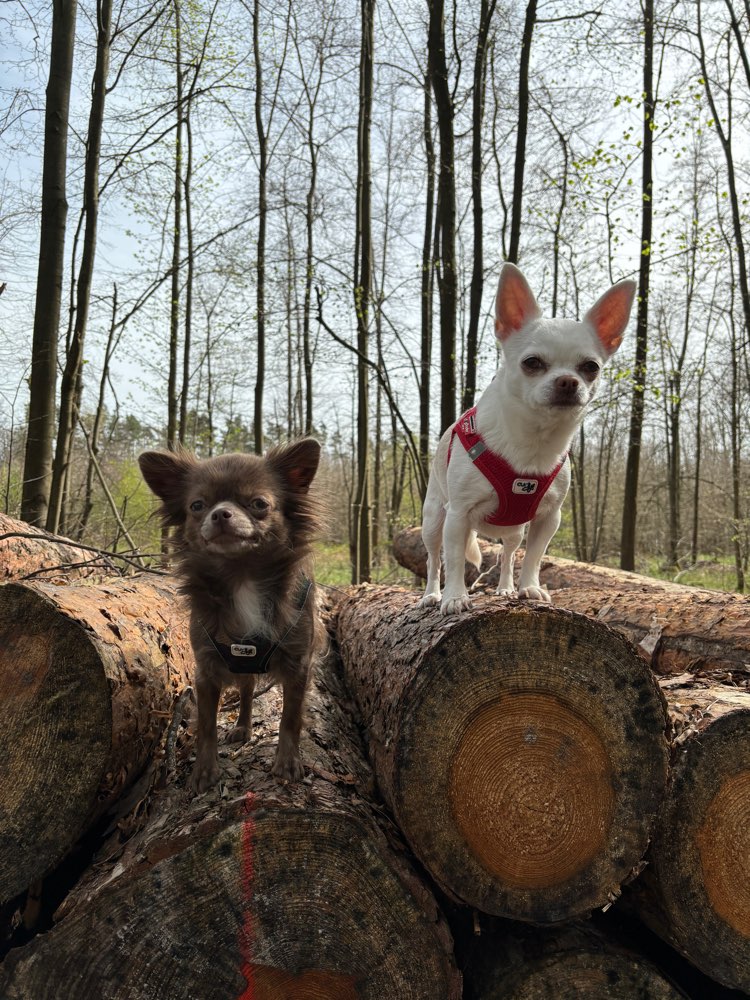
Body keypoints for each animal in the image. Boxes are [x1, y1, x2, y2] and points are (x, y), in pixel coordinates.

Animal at [138, 442, 326, 792]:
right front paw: (204, 771)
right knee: (247, 692)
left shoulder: (298, 667)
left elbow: (290, 718)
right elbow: (207, 725)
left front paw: (287, 762)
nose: (220, 513)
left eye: (259, 504)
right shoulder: (207, 672)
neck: (242, 575)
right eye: (197, 505)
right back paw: (242, 726)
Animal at [420, 262, 636, 612]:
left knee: (508, 555)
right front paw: (454, 597)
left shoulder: (548, 519)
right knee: (432, 558)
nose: (567, 381)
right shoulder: (458, 515)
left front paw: (530, 588)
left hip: (514, 530)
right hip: (434, 520)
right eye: (531, 363)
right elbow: (452, 561)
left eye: (591, 367)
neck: (534, 438)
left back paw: (506, 588)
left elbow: (534, 557)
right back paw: (431, 595)